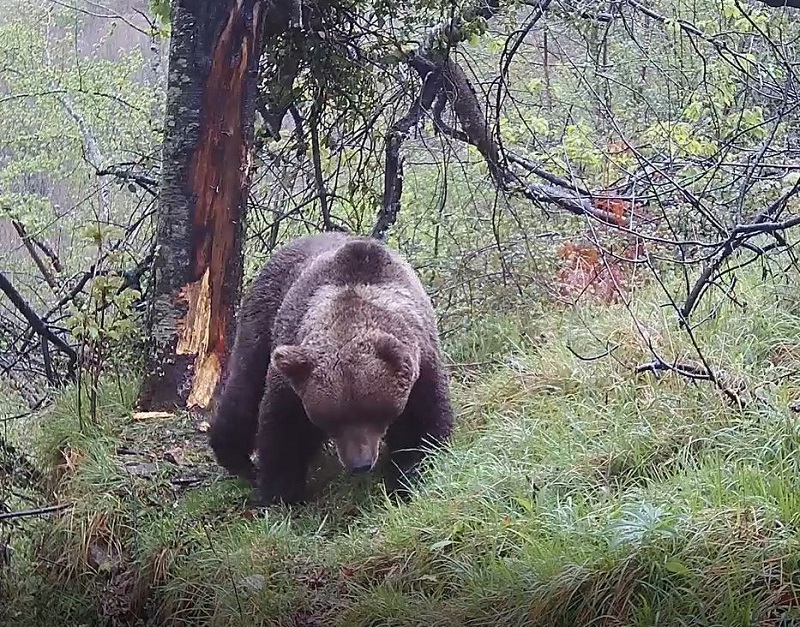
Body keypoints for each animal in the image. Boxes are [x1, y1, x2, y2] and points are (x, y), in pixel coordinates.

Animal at [209, 232, 454, 506]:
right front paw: (278, 493)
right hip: (262, 323)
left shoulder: (421, 369)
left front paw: (409, 477)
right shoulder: (294, 375)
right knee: (244, 391)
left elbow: (421, 429)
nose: (360, 464)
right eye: (331, 419)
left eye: (376, 412)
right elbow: (283, 431)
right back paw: (235, 458)